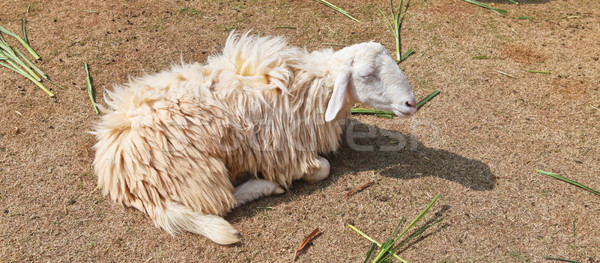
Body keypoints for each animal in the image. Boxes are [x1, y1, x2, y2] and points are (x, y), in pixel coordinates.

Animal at [92, 32, 418, 245]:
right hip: (197, 171)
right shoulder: (283, 151)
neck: (311, 87)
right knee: (221, 204)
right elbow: (322, 169)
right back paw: (264, 187)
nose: (411, 103)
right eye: (366, 75)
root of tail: (120, 176)